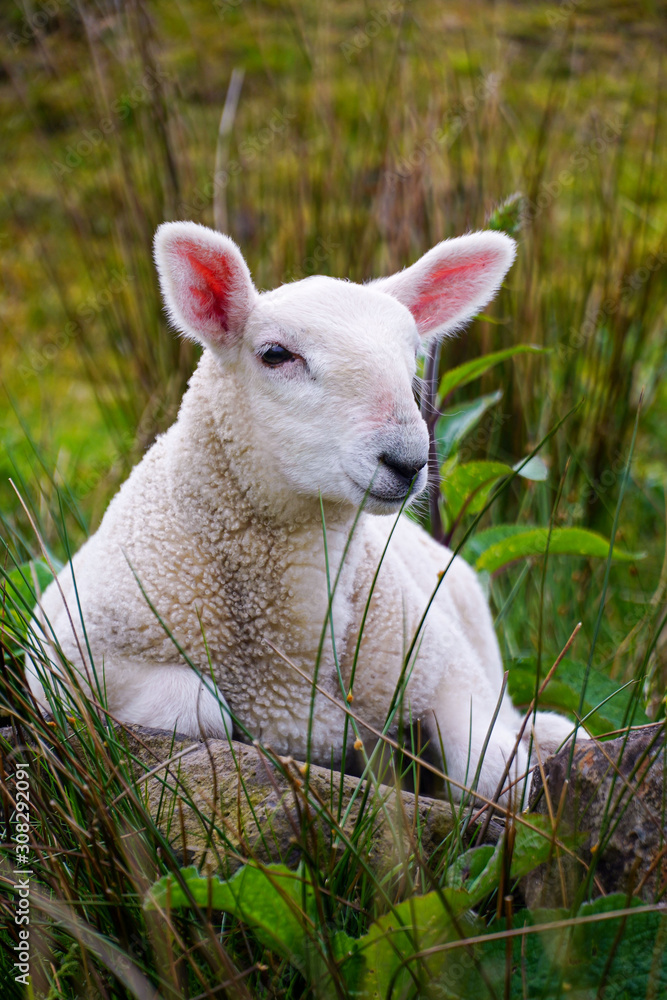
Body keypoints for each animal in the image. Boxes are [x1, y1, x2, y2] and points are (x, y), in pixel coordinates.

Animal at [28, 221, 580, 803]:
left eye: (413, 357)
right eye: (275, 354)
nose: (408, 460)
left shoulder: (442, 662)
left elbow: (500, 776)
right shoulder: (71, 664)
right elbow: (195, 708)